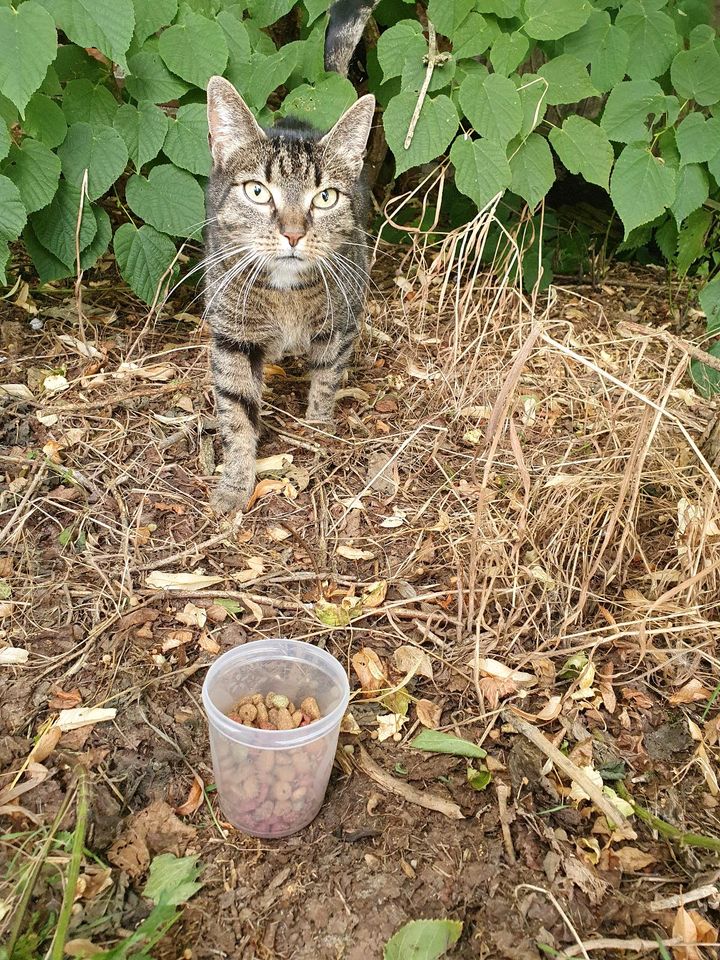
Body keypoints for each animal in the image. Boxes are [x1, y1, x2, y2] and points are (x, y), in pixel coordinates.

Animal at [204, 0, 376, 512]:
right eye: (258, 192)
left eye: (325, 197)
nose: (294, 234)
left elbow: (327, 378)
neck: (285, 296)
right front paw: (234, 484)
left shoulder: (340, 323)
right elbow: (236, 411)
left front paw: (318, 432)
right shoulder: (232, 337)